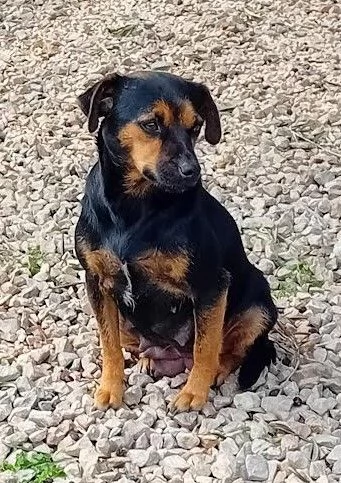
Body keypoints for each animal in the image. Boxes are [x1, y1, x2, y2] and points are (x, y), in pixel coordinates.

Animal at [74, 72, 276, 412]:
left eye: (196, 127)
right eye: (151, 124)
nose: (191, 171)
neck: (135, 208)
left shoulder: (212, 287)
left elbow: (205, 347)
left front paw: (194, 393)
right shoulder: (97, 282)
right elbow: (109, 345)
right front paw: (111, 388)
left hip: (259, 306)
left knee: (231, 349)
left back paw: (216, 371)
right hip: (124, 319)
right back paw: (147, 361)